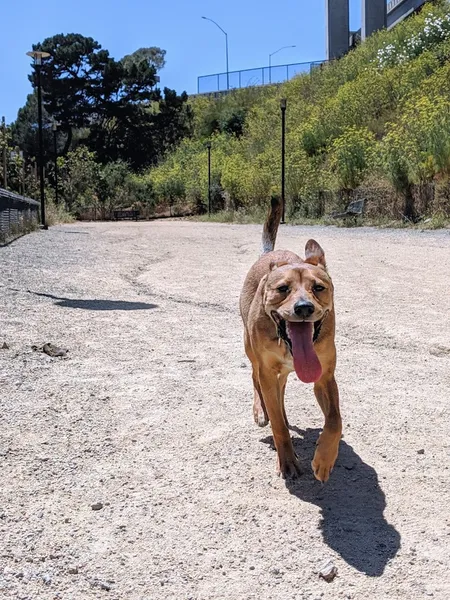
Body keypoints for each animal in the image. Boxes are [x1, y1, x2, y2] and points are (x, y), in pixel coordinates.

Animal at [239, 197, 342, 482]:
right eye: (282, 289)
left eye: (318, 287)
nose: (304, 308)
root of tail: (267, 254)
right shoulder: (266, 371)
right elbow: (277, 425)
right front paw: (287, 461)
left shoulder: (325, 376)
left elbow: (335, 421)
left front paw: (324, 461)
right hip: (251, 351)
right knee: (256, 379)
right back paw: (260, 411)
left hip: (283, 373)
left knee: (281, 390)